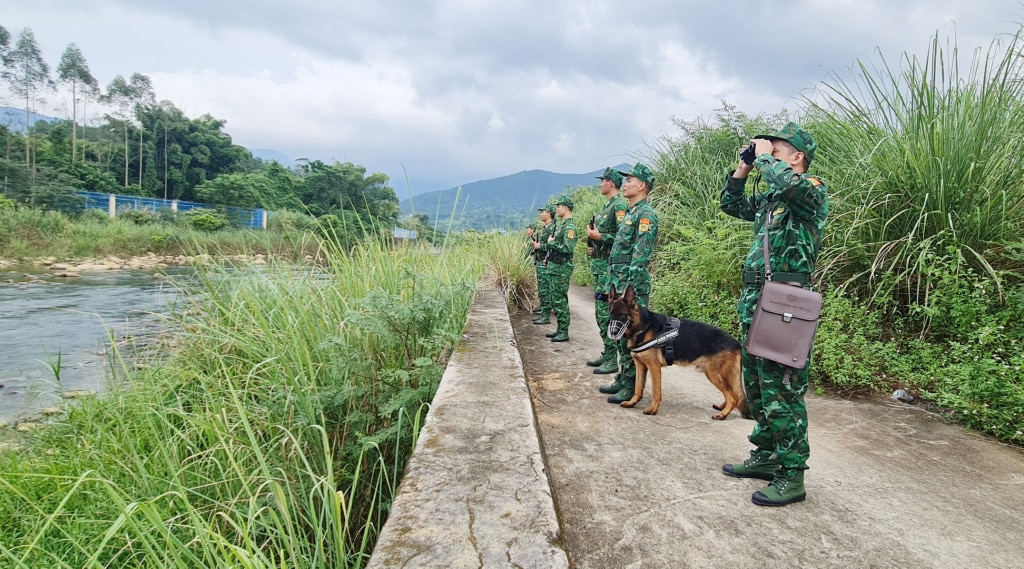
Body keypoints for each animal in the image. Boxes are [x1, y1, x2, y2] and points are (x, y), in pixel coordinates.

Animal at [606, 286, 753, 419]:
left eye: (622, 315)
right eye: (611, 314)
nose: (613, 333)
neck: (643, 326)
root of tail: (737, 343)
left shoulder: (654, 367)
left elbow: (656, 391)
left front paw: (653, 409)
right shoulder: (640, 365)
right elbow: (638, 387)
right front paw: (632, 402)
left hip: (713, 374)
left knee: (733, 397)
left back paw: (722, 414)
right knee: (734, 394)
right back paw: (722, 407)